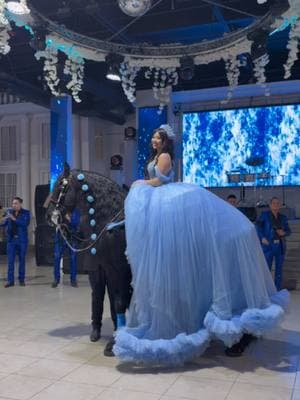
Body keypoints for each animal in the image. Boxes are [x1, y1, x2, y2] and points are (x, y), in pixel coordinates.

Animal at [45, 162, 132, 356]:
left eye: (60, 185)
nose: (49, 215)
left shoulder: (120, 270)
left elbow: (119, 302)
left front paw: (114, 343)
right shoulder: (111, 270)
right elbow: (115, 302)